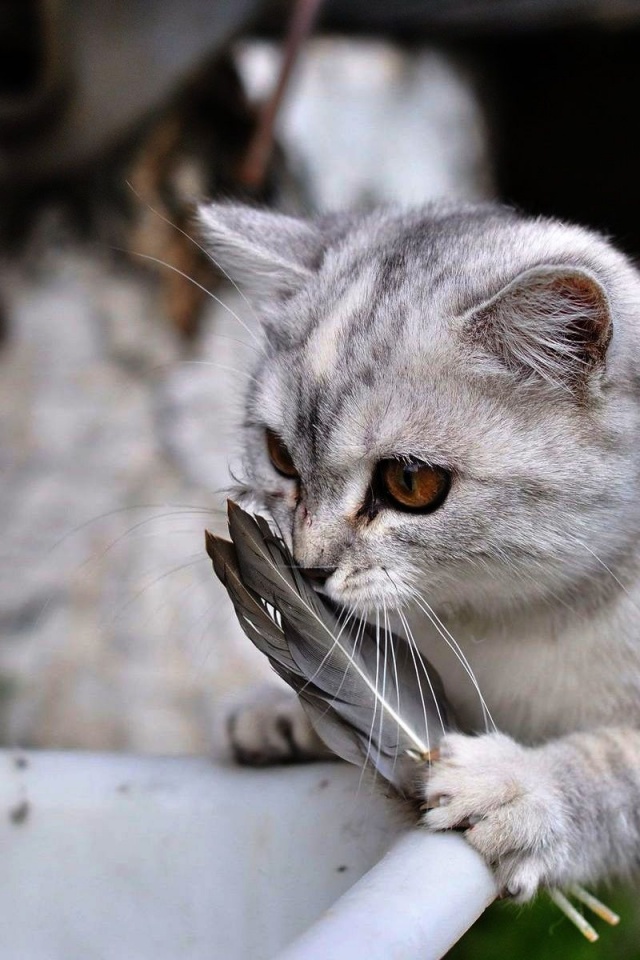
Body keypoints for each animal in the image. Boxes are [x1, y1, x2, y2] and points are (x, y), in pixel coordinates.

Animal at [199, 199, 640, 904]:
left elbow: (616, 770)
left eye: (409, 482)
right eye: (278, 456)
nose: (308, 567)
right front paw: (284, 710)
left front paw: (523, 788)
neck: (505, 622)